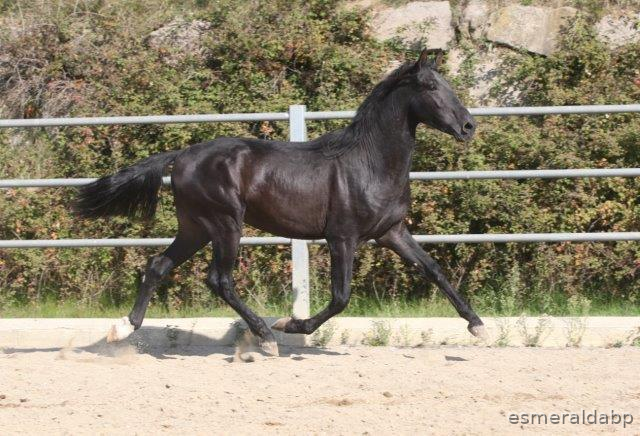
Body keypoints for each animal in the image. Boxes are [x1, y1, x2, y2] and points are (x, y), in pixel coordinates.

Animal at [75, 49, 487, 355]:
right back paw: (266, 336)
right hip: (224, 224)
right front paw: (291, 324)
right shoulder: (342, 237)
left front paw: (478, 325)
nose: (468, 126)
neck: (369, 163)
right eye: (431, 86)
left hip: (195, 227)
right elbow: (341, 297)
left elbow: (433, 270)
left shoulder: (391, 232)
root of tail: (182, 155)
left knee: (158, 266)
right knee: (219, 279)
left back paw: (123, 328)